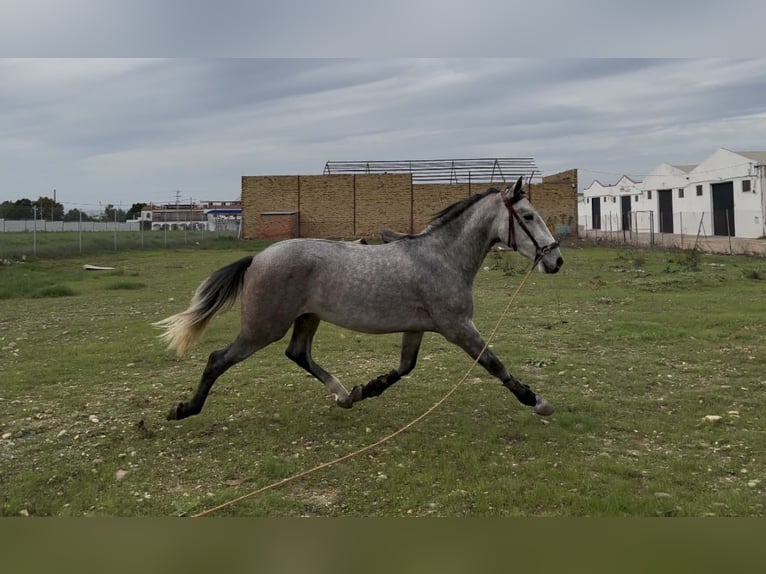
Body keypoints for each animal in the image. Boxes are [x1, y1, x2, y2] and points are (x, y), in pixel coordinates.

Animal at [156, 178, 564, 426]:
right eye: (528, 216)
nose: (556, 260)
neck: (441, 257)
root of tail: (257, 257)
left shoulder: (418, 328)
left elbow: (404, 368)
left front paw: (368, 389)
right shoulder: (457, 327)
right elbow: (493, 363)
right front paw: (537, 400)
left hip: (307, 318)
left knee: (298, 354)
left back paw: (343, 395)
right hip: (262, 328)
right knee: (218, 359)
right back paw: (185, 409)